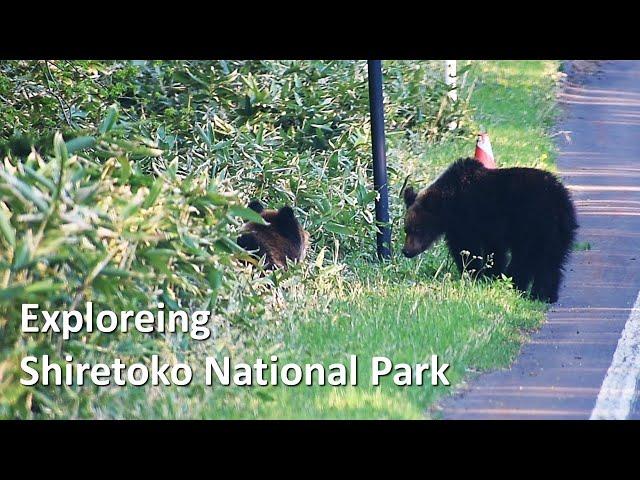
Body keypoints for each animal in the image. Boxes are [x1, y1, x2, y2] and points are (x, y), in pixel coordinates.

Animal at [402, 158, 576, 302]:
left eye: (417, 229)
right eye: (406, 229)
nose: (406, 251)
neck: (450, 203)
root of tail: (559, 202)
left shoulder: (471, 219)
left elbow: (469, 249)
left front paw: (477, 274)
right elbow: (490, 251)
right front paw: (487, 274)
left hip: (533, 225)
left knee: (527, 258)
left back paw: (517, 285)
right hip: (558, 232)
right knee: (551, 262)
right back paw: (544, 295)